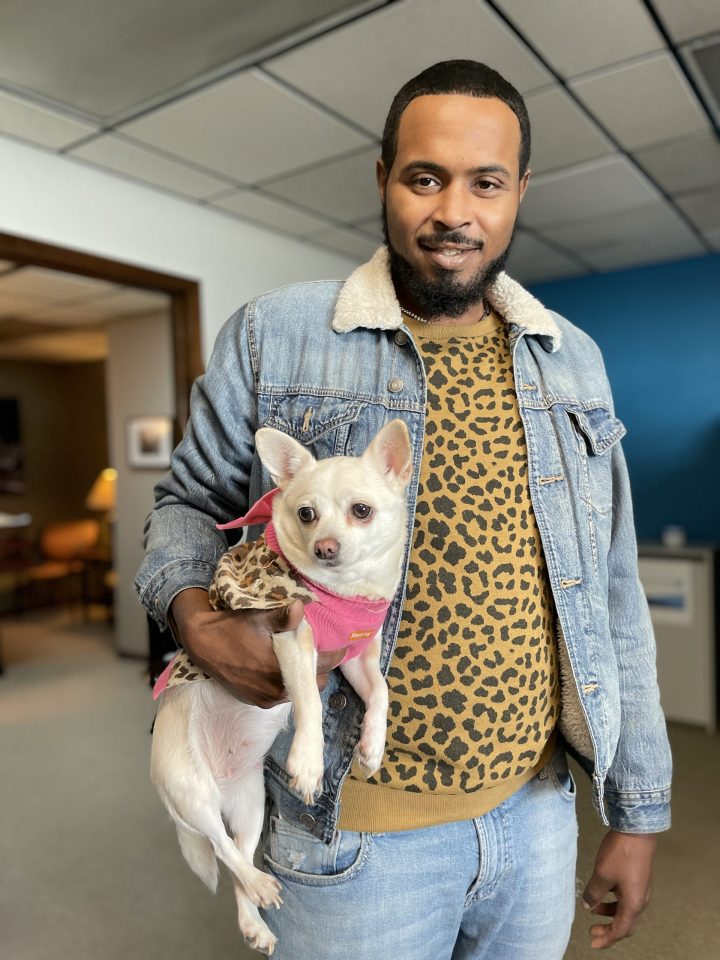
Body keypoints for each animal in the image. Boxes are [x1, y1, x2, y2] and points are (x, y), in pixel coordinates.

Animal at [149, 420, 414, 952]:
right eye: (306, 514)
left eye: (361, 511)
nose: (325, 548)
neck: (346, 594)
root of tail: (218, 784)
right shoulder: (293, 641)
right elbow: (309, 698)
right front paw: (309, 763)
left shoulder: (358, 659)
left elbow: (381, 693)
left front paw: (372, 747)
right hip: (190, 792)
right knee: (221, 849)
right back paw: (258, 883)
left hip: (250, 806)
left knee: (236, 852)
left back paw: (253, 915)